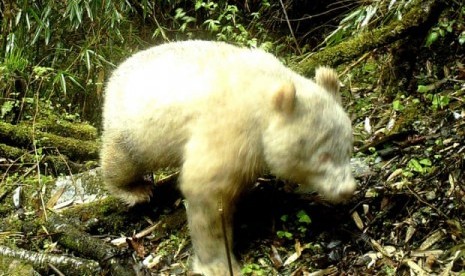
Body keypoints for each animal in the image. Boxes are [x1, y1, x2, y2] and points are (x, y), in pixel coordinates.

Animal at [100, 40, 356, 274]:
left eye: (348, 149)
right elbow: (206, 190)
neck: (264, 93)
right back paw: (134, 190)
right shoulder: (230, 128)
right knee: (122, 161)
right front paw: (218, 264)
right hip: (134, 127)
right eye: (323, 156)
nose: (347, 189)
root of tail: (115, 74)